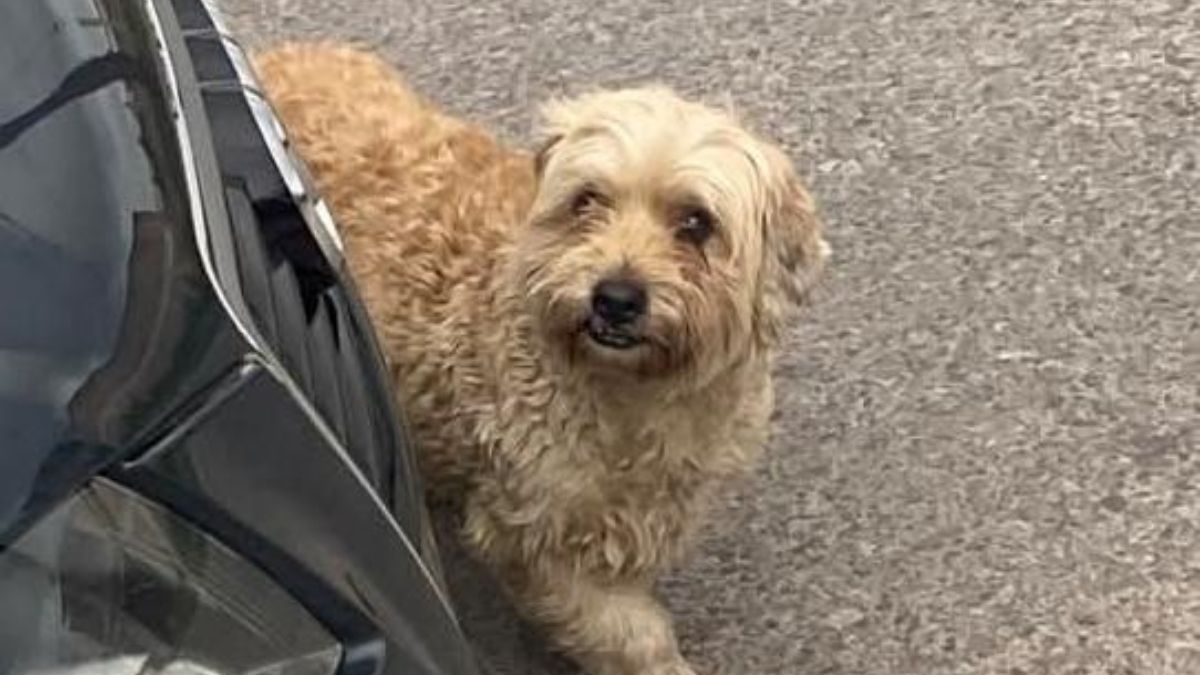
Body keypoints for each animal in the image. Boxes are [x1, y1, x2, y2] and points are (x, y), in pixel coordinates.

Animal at [254, 43, 828, 675]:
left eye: (696, 223)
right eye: (588, 201)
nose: (615, 298)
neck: (629, 396)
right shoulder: (534, 536)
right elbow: (630, 633)